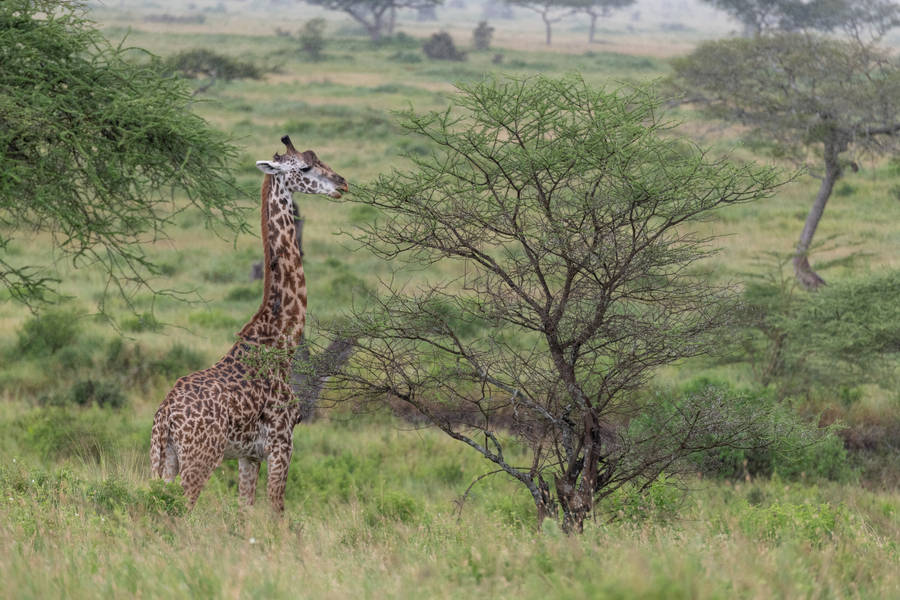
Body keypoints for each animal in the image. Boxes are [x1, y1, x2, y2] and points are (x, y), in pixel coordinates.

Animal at [150, 135, 348, 512]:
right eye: (305, 167)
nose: (342, 184)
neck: (281, 339)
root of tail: (166, 415)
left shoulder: (249, 455)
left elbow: (245, 511)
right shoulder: (282, 443)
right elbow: (276, 511)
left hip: (160, 458)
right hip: (200, 457)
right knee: (178, 510)